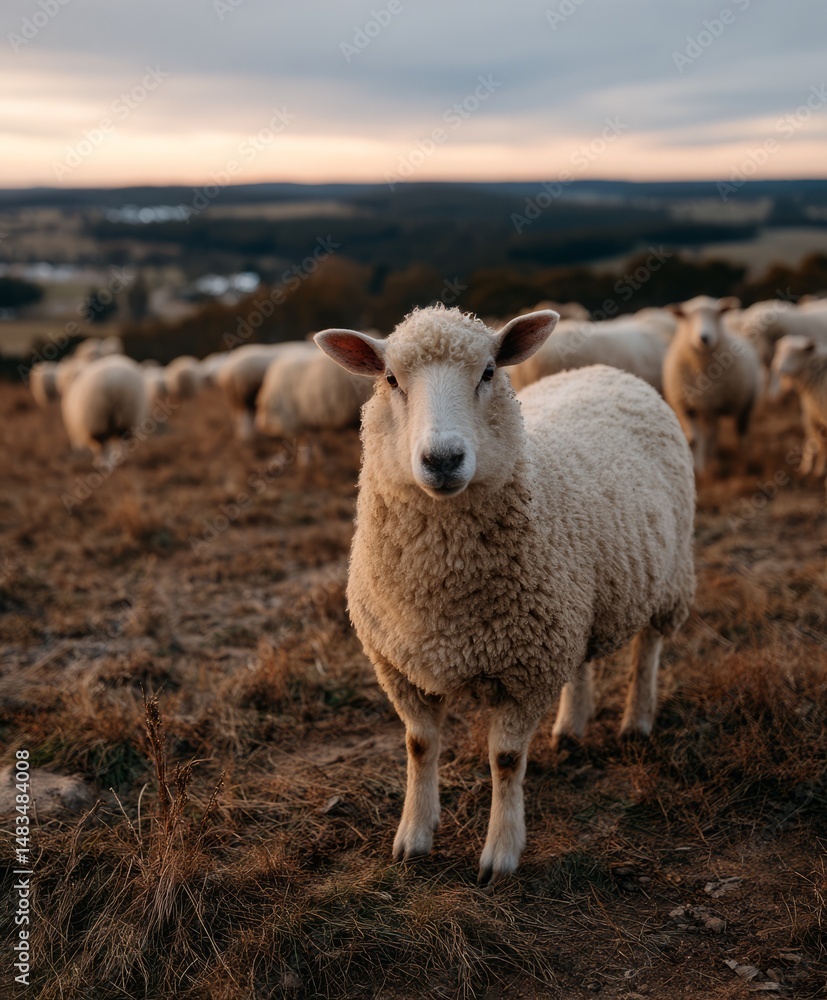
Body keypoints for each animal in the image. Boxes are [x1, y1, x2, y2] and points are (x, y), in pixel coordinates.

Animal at [662, 295, 762, 474]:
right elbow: (695, 440)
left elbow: (710, 437)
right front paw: (699, 470)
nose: (704, 338)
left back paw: (746, 465)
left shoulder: (712, 406)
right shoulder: (687, 407)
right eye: (687, 317)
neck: (701, 369)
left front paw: (712, 468)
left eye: (718, 314)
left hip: (745, 403)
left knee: (741, 432)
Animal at [772, 335, 827, 480]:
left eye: (795, 354)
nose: (779, 370)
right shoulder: (811, 414)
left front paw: (818, 472)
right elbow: (812, 442)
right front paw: (807, 469)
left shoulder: (814, 416)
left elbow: (819, 445)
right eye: (780, 352)